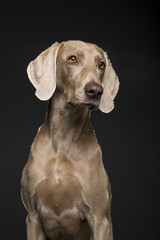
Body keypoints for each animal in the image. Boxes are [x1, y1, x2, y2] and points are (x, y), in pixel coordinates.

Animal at [21, 40, 119, 239]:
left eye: (101, 64)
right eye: (72, 59)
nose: (96, 91)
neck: (63, 139)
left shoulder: (100, 220)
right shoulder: (33, 217)